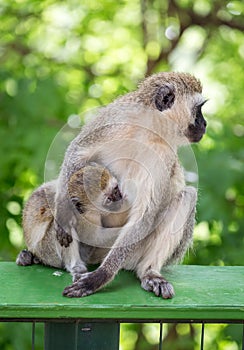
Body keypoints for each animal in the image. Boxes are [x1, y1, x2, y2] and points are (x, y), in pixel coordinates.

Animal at [54, 71, 207, 298]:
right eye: (198, 110)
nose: (205, 124)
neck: (148, 129)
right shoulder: (115, 118)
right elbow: (77, 152)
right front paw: (63, 215)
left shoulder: (164, 154)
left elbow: (145, 213)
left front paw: (100, 277)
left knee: (187, 195)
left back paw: (149, 272)